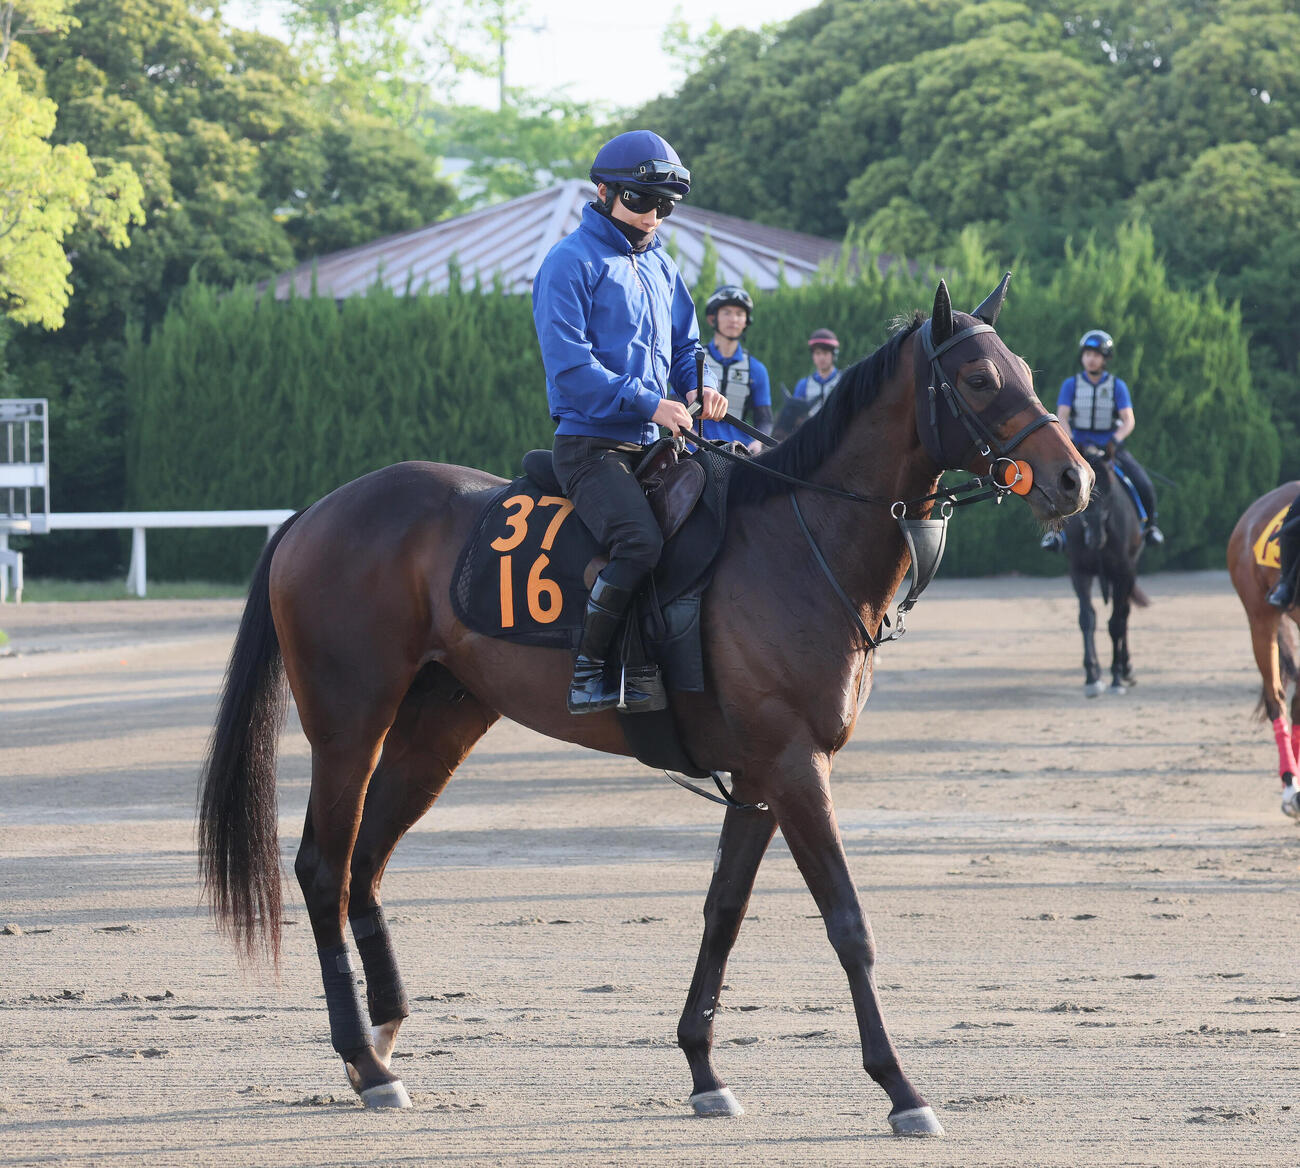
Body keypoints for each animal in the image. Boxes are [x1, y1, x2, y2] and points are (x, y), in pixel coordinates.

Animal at [198, 278, 1091, 1136]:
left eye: (1027, 372)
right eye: (978, 379)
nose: (1072, 478)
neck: (798, 538)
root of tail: (315, 513)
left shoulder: (759, 778)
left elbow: (723, 912)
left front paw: (703, 1068)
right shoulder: (796, 767)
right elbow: (847, 923)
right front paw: (900, 1086)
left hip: (437, 729)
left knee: (366, 864)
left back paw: (381, 1042)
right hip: (349, 725)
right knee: (323, 868)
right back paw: (363, 1056)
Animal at [1063, 446, 1148, 696]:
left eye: (1111, 490)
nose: (1095, 538)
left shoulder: (1123, 573)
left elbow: (1116, 623)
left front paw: (1117, 675)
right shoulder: (1079, 572)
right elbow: (1086, 619)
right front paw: (1092, 675)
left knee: (1124, 614)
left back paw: (1127, 668)